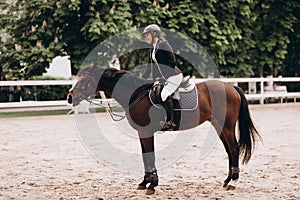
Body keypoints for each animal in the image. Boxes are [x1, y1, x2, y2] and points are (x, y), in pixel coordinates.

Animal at [67, 66, 260, 195]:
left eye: (85, 79)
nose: (69, 97)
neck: (136, 95)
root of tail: (231, 87)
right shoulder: (141, 132)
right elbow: (145, 155)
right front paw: (144, 182)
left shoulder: (146, 132)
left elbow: (150, 155)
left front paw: (152, 185)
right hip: (219, 125)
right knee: (229, 150)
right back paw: (227, 180)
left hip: (226, 125)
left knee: (234, 149)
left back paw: (233, 182)